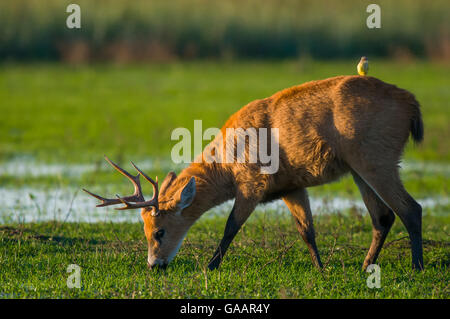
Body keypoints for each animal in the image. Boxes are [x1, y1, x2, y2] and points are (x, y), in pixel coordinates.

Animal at [82, 75, 424, 272]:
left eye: (159, 232)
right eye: (145, 231)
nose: (154, 264)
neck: (227, 165)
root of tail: (412, 104)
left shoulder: (252, 182)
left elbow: (230, 226)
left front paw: (211, 266)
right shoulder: (291, 185)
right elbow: (307, 230)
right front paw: (320, 269)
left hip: (376, 158)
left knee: (411, 208)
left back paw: (416, 267)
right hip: (358, 167)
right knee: (383, 216)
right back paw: (366, 266)